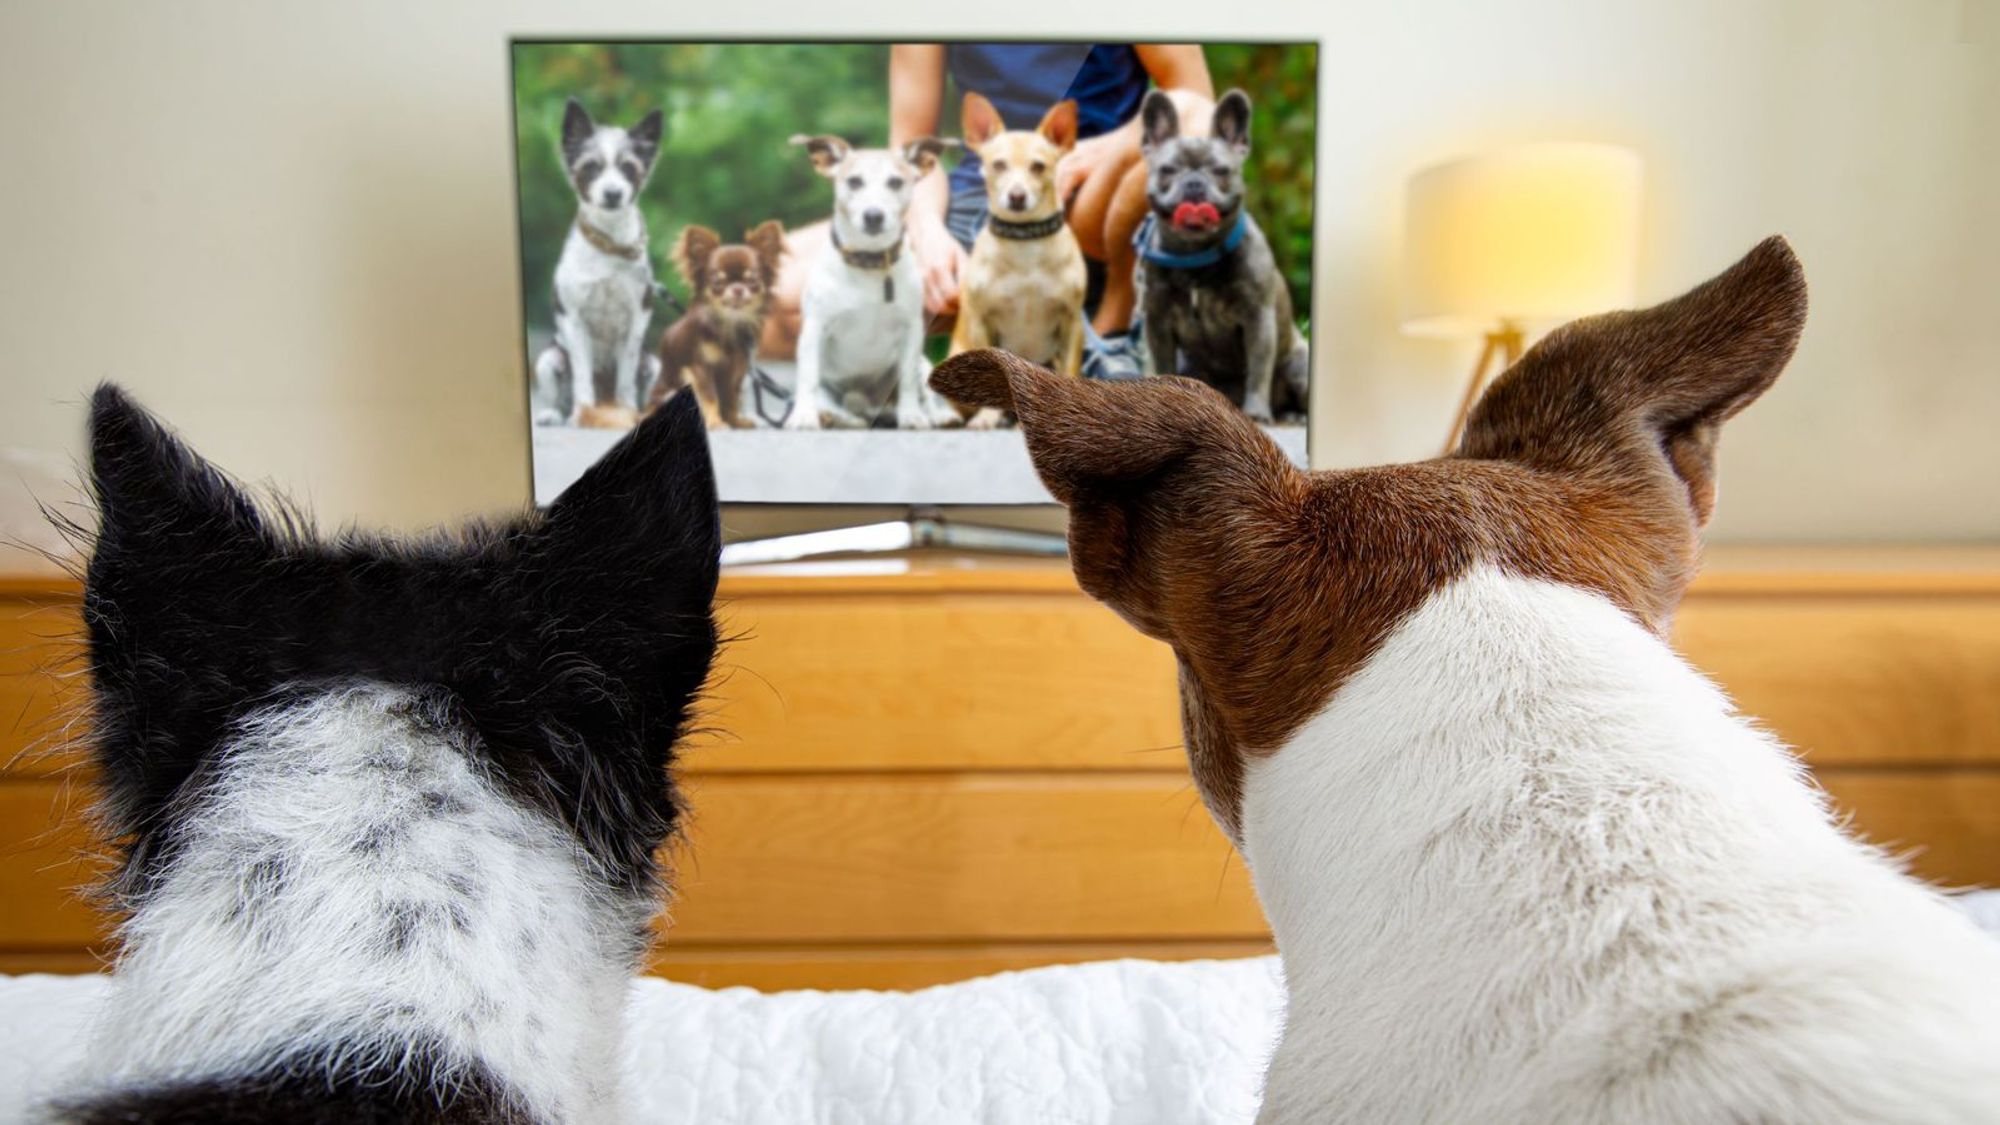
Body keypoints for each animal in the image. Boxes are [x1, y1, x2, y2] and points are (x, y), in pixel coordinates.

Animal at [536, 97, 668, 424]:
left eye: (628, 168)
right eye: (591, 167)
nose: (613, 193)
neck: (610, 246)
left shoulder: (637, 318)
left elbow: (626, 377)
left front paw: (627, 409)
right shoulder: (573, 320)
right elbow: (582, 375)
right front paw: (582, 412)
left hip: (654, 364)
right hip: (547, 359)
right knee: (556, 396)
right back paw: (554, 414)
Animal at [652, 218, 784, 424]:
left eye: (752, 281)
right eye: (718, 283)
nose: (737, 288)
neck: (730, 323)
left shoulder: (737, 369)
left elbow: (730, 397)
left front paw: (735, 421)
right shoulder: (700, 368)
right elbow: (709, 396)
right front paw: (715, 422)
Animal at [948, 95, 1088, 428]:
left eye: (1039, 167)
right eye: (998, 165)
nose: (1016, 196)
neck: (1025, 245)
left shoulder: (1071, 323)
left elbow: (1071, 370)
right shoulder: (982, 322)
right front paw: (986, 418)